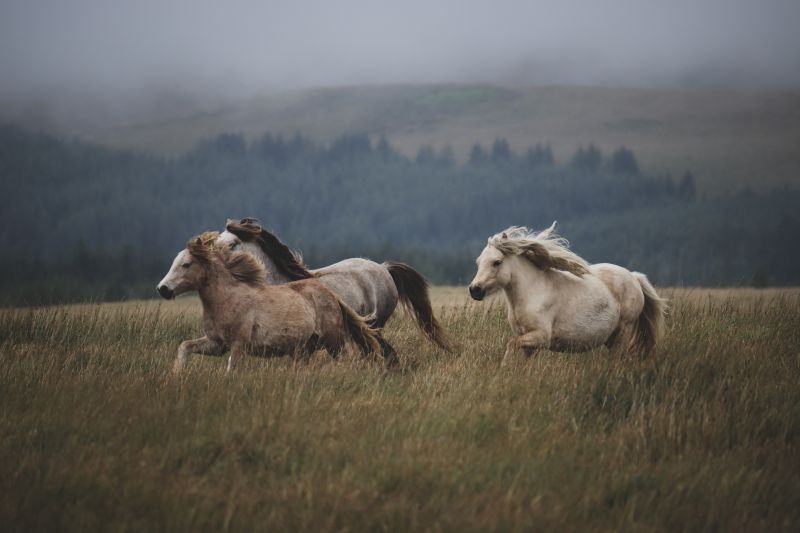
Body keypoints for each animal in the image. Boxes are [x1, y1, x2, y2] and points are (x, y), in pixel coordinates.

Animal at [158, 231, 382, 372]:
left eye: (186, 264)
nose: (163, 289)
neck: (227, 299)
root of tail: (332, 295)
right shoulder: (217, 344)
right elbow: (185, 346)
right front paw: (177, 374)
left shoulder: (239, 344)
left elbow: (231, 369)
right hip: (303, 350)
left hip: (333, 341)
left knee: (346, 360)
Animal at [466, 222, 664, 364]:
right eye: (478, 262)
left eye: (497, 262)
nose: (475, 290)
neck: (531, 293)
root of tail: (634, 277)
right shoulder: (529, 342)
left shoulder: (541, 337)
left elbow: (511, 343)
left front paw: (504, 367)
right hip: (612, 337)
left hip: (623, 331)